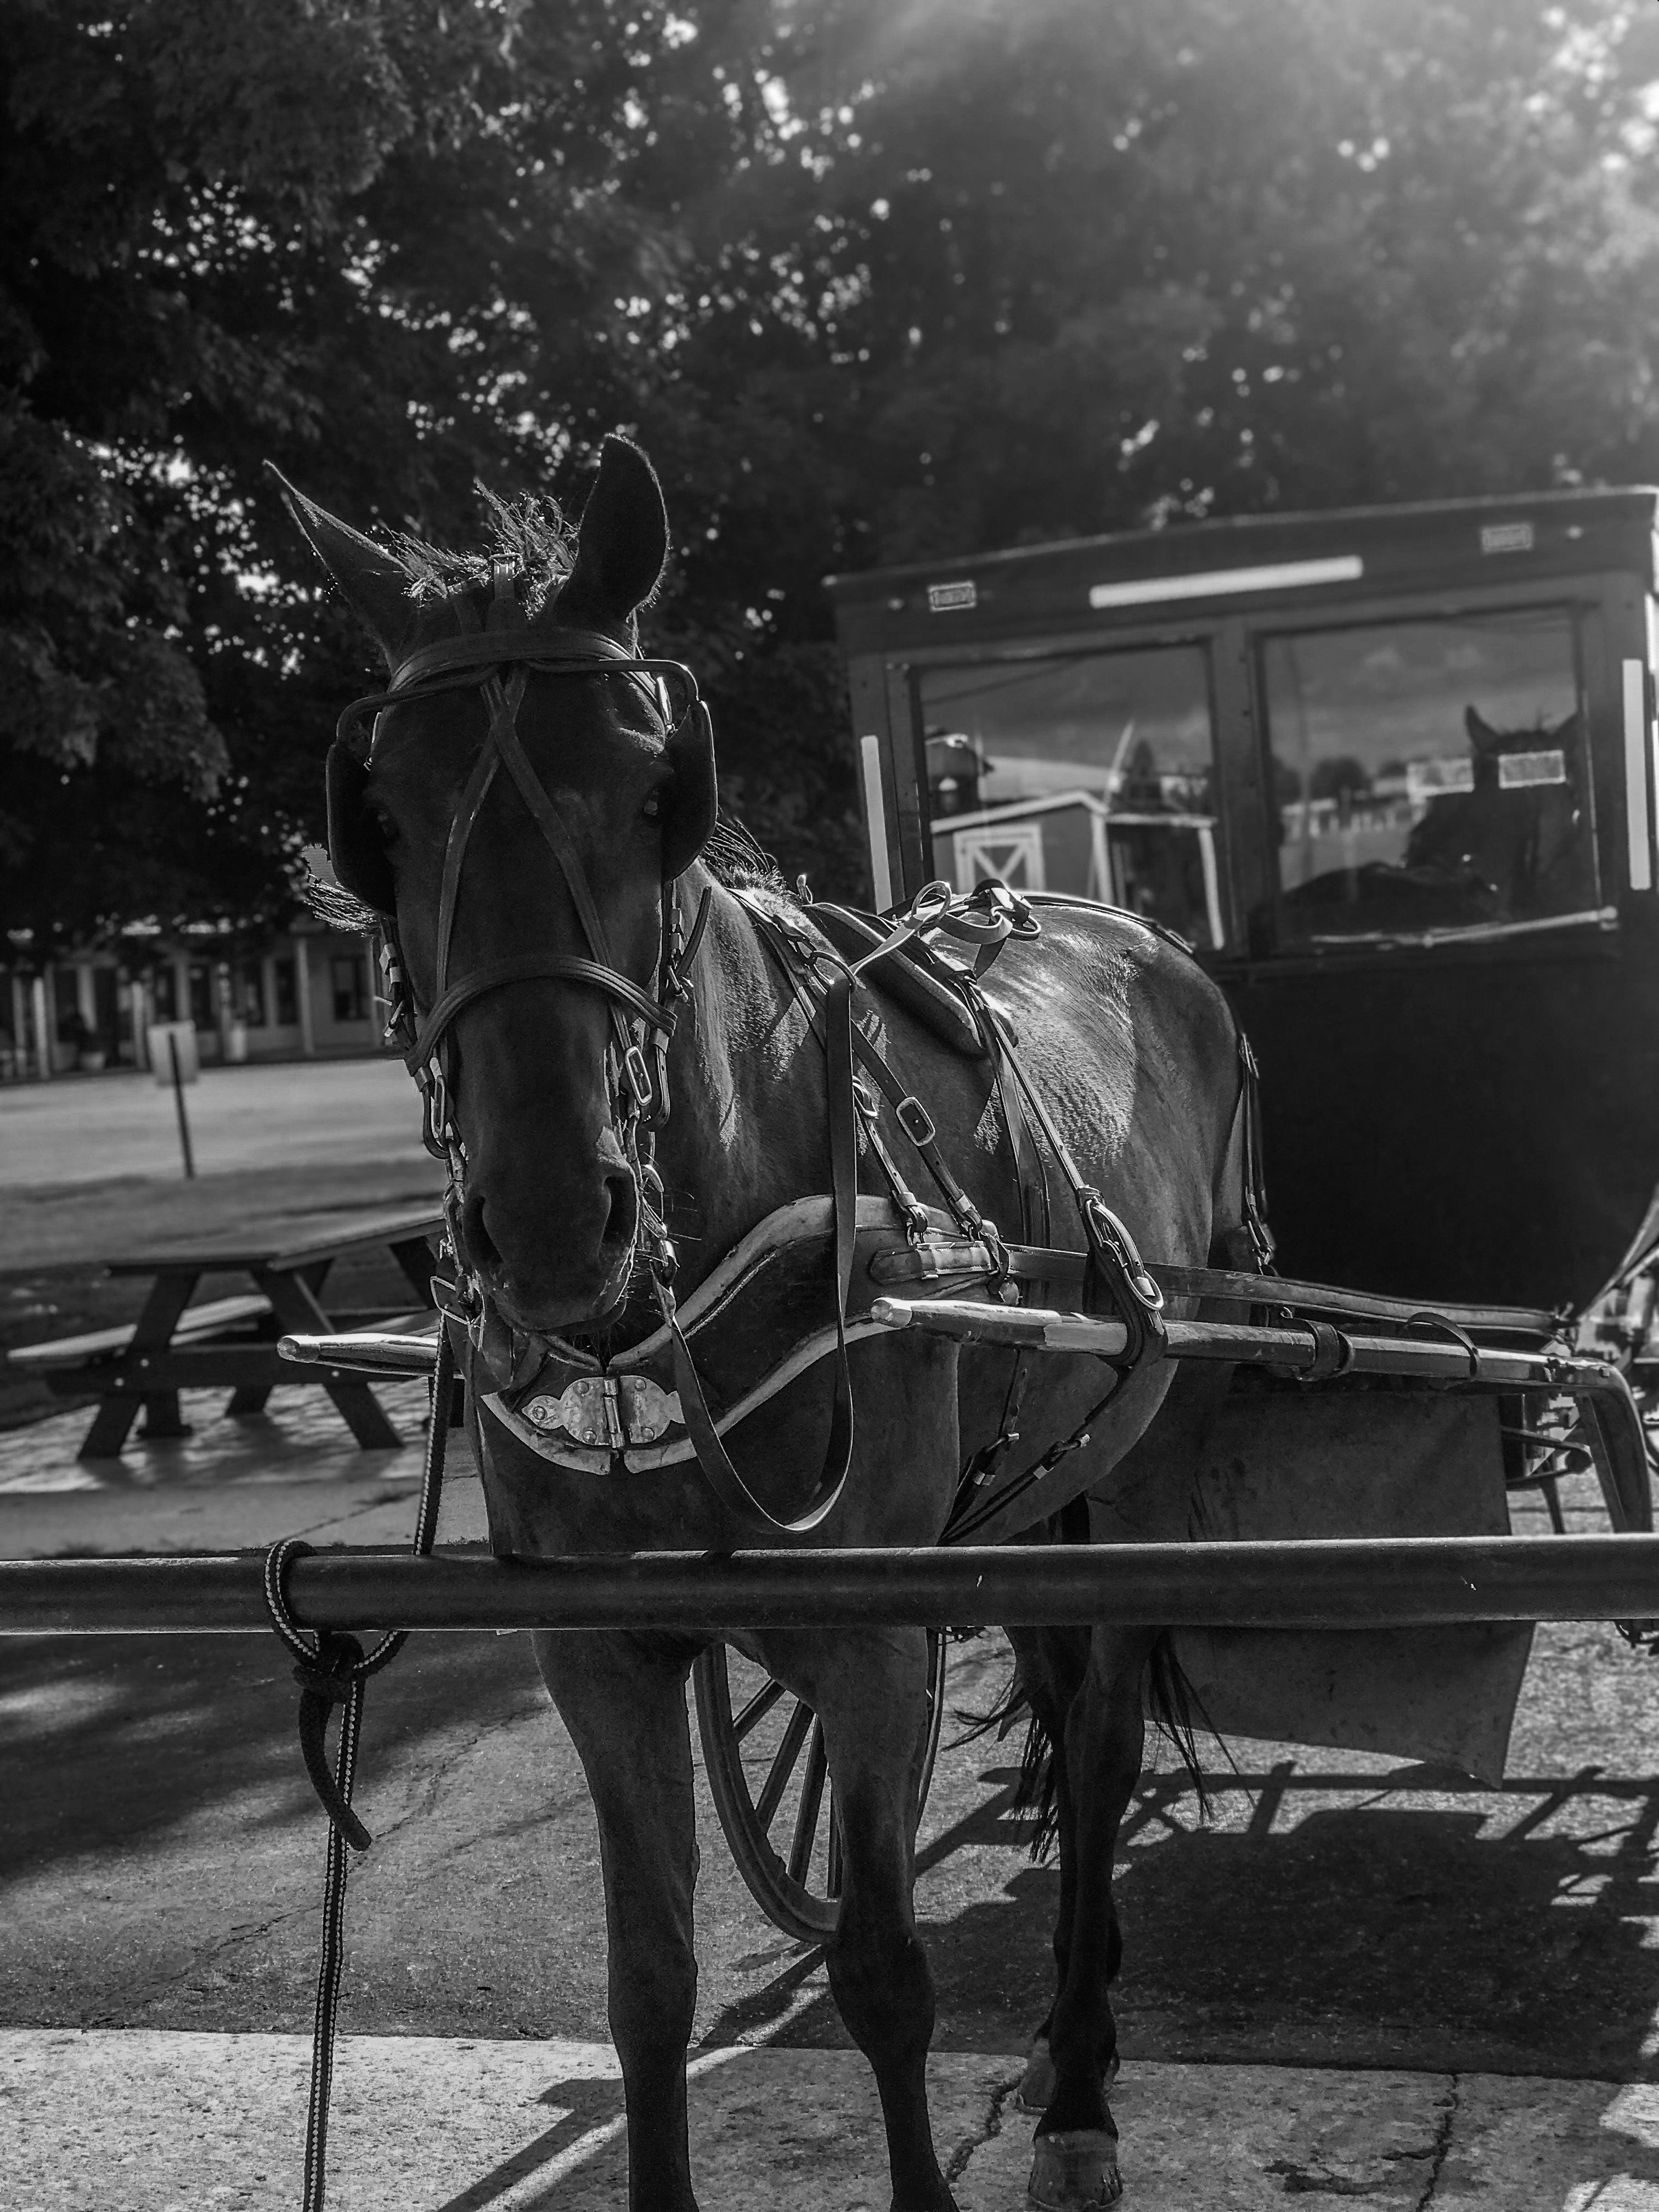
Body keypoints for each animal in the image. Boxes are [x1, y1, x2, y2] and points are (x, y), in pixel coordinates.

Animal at [276, 436, 1256, 2212]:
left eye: (658, 794)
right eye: (375, 820)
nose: (548, 1222)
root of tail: (1126, 926)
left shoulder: (873, 1640)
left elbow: (883, 1973)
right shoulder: (598, 1652)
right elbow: (648, 1979)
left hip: (1134, 1467)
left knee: (1098, 1735)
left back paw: (1081, 2076)